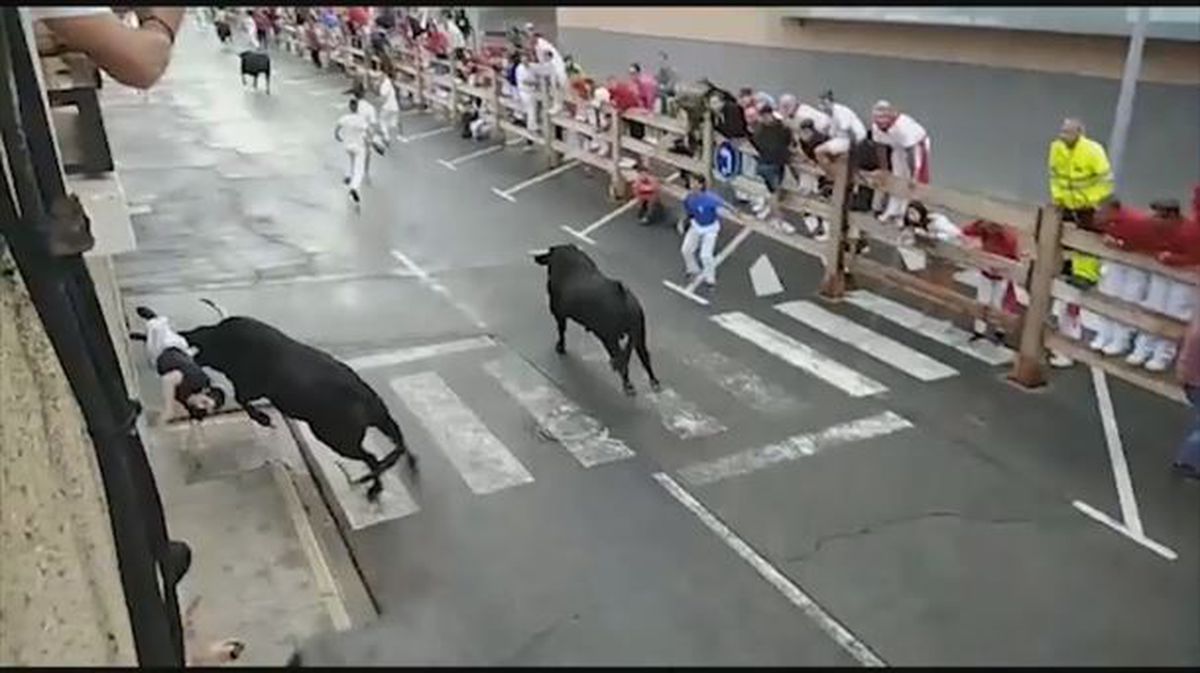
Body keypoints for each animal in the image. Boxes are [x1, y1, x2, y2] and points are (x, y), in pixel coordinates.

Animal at [537, 243, 667, 393]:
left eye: (548, 251)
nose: (536, 257)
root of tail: (623, 298)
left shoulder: (559, 314)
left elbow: (561, 332)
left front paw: (560, 347)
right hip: (638, 334)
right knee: (644, 358)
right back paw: (653, 381)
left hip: (610, 338)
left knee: (621, 360)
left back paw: (627, 383)